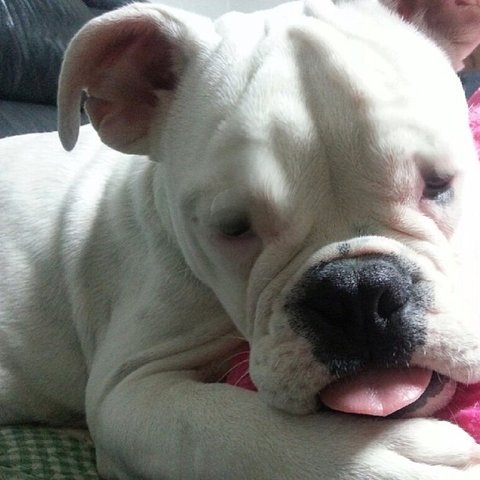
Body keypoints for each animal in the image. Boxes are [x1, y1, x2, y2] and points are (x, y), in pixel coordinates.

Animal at [1, 0, 480, 478]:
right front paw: (387, 459)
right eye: (232, 227)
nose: (356, 292)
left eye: (438, 183)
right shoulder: (127, 387)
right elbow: (226, 432)